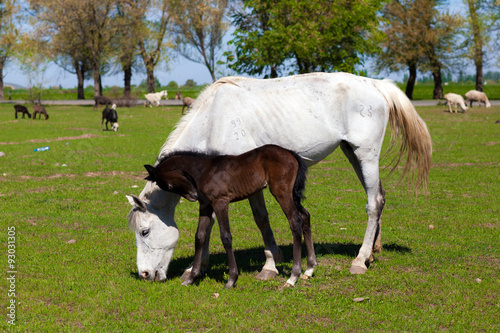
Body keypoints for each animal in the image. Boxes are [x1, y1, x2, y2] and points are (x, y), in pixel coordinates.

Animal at [144, 144, 316, 286]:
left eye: (169, 185)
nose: (193, 196)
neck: (204, 170)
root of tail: (291, 153)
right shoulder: (206, 205)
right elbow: (200, 237)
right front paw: (191, 278)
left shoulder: (220, 202)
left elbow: (226, 237)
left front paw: (232, 279)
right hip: (292, 195)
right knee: (305, 216)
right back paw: (309, 269)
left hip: (282, 192)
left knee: (295, 221)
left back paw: (293, 277)